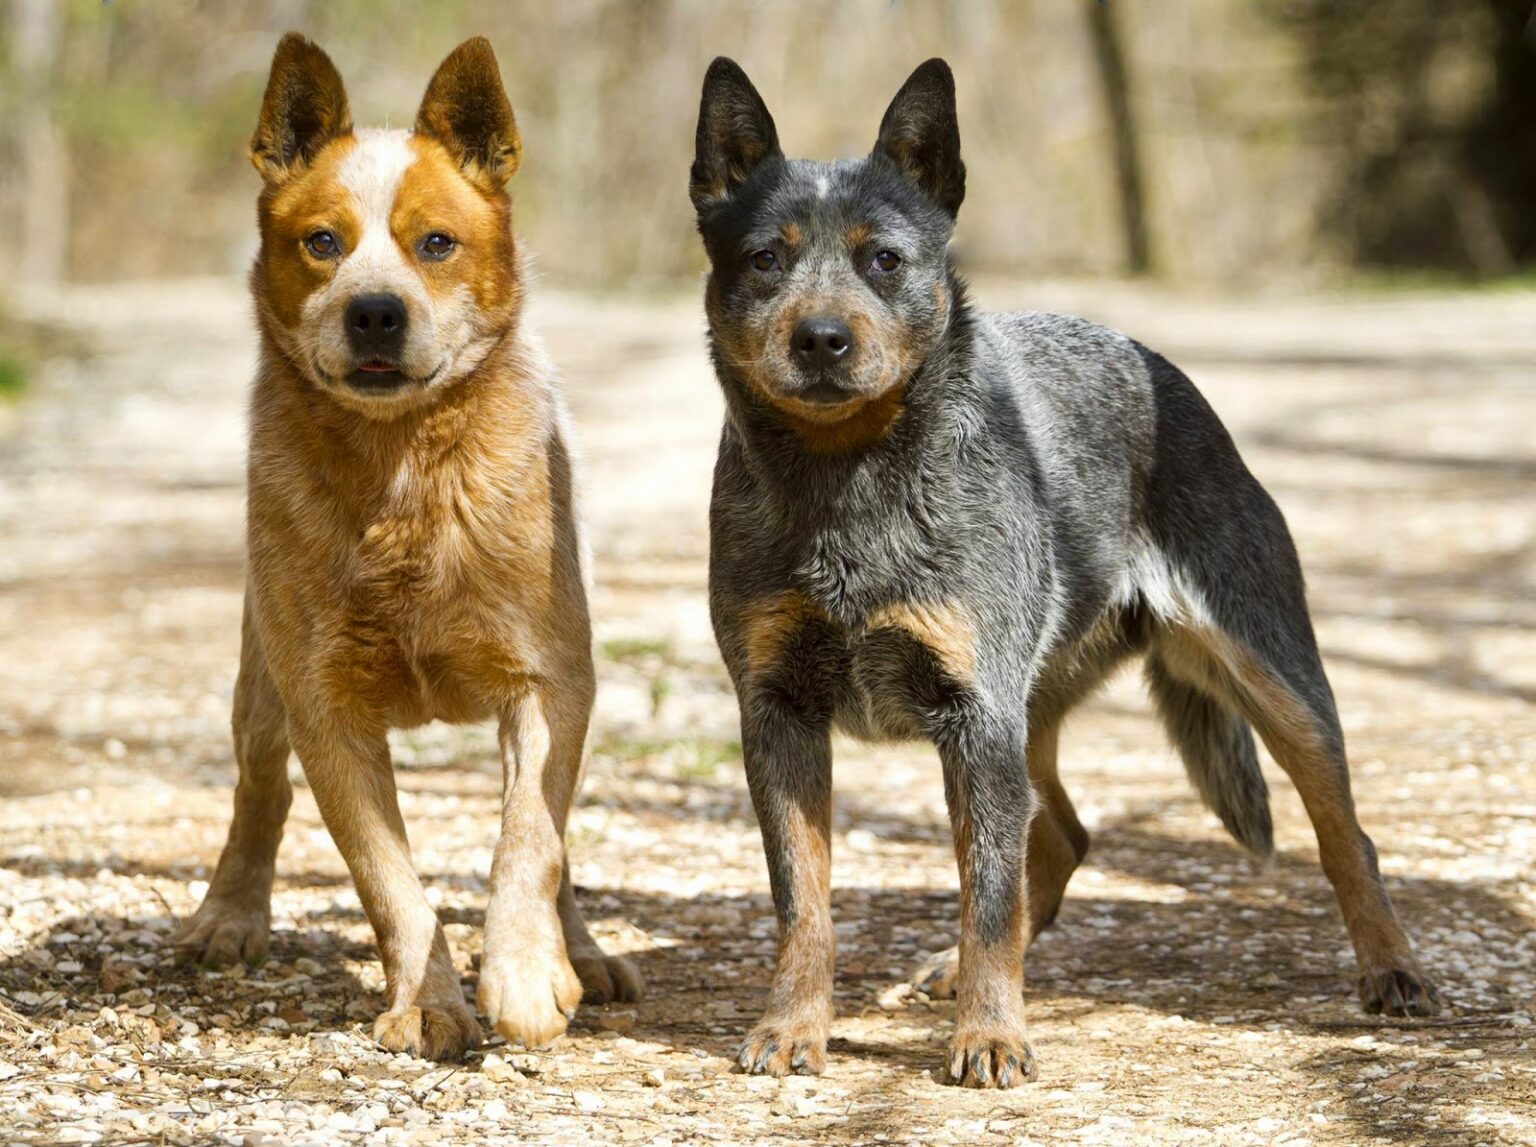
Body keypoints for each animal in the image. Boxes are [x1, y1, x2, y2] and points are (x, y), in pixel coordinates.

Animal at [176, 33, 638, 1056]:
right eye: (323, 242)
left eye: (436, 243)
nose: (377, 312)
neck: (405, 477)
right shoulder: (325, 705)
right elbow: (389, 882)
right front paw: (428, 1003)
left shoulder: (549, 679)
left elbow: (528, 842)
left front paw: (524, 975)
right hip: (259, 678)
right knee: (258, 790)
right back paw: (229, 914)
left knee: (555, 836)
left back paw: (580, 954)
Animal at [694, 58, 1437, 1093]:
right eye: (766, 258)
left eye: (884, 260)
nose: (823, 338)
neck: (848, 484)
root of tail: (1161, 368)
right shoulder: (780, 714)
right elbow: (804, 900)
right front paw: (794, 1024)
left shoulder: (975, 716)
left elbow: (987, 894)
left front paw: (990, 1035)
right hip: (1033, 708)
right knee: (1062, 833)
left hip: (1270, 678)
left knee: (1344, 835)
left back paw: (1391, 968)